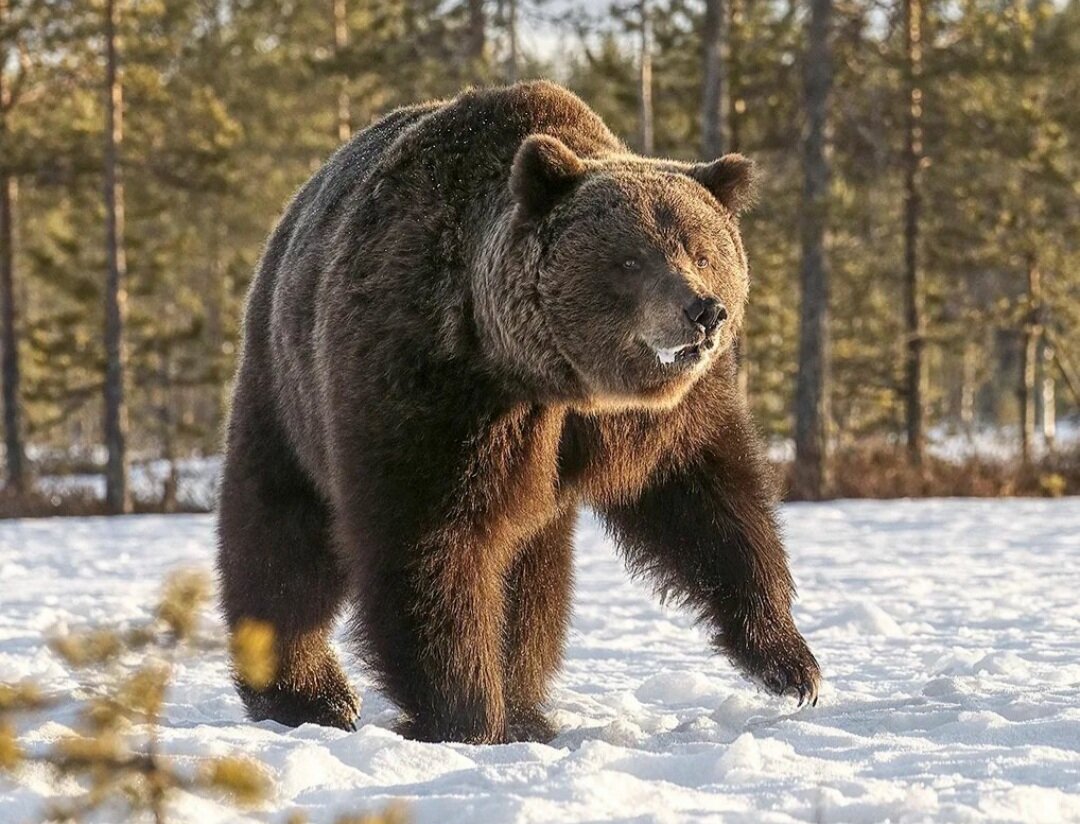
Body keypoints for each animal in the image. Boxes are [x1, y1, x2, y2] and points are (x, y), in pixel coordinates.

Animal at [217, 80, 816, 743]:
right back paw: (308, 695)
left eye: (703, 251)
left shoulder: (653, 420)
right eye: (632, 259)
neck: (551, 379)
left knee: (534, 581)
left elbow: (711, 503)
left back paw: (528, 707)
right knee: (281, 541)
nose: (703, 311)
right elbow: (431, 546)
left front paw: (790, 664)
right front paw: (466, 714)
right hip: (286, 393)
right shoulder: (436, 390)